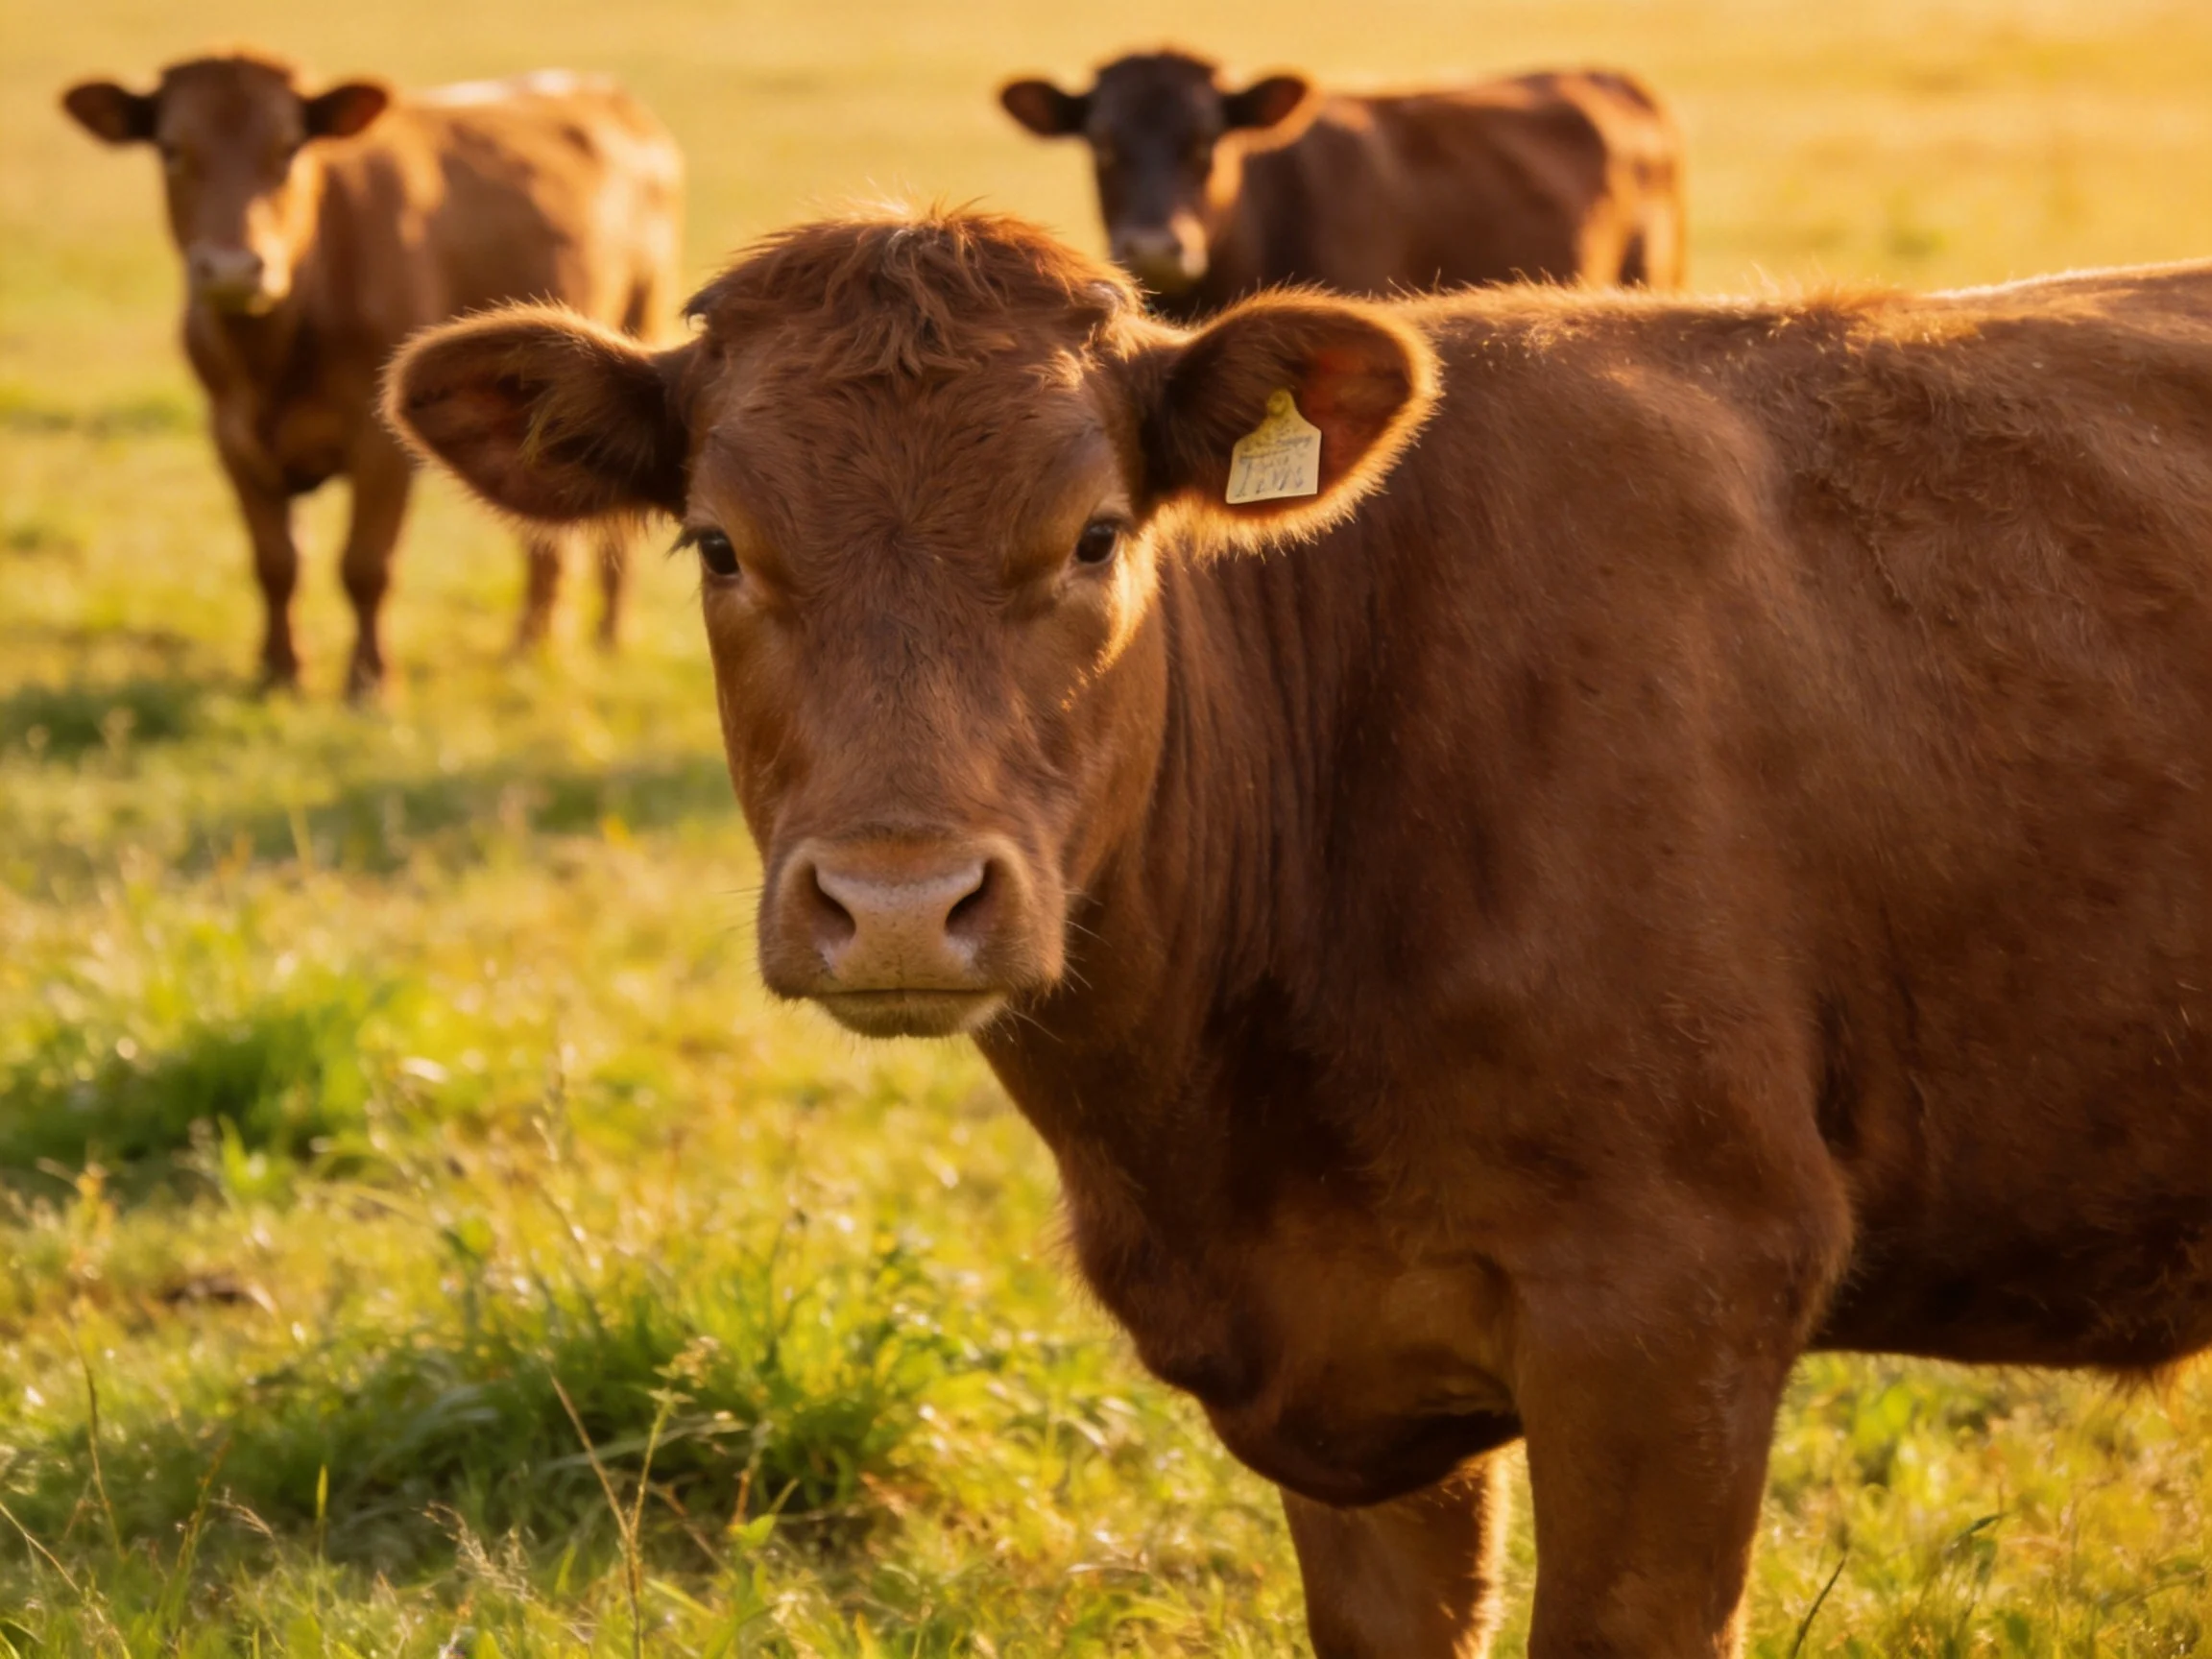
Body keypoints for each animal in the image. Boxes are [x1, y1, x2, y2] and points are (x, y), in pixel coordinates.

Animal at [61, 52, 683, 696]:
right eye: (171, 149)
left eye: (289, 147)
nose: (233, 269)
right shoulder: (229, 434)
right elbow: (276, 561)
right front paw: (280, 671)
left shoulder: (382, 443)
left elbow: (365, 565)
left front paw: (370, 682)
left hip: (641, 318)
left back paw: (584, 638)